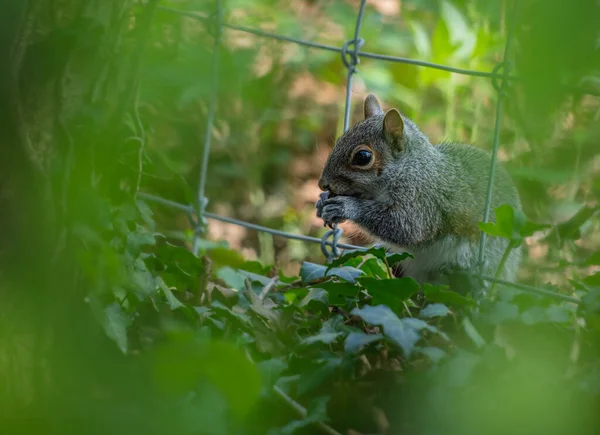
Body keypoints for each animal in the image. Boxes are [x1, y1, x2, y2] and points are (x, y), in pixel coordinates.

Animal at [314, 93, 520, 288]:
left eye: (363, 157)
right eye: (340, 139)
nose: (323, 184)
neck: (410, 168)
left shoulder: (423, 202)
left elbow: (407, 228)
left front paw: (346, 207)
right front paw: (322, 201)